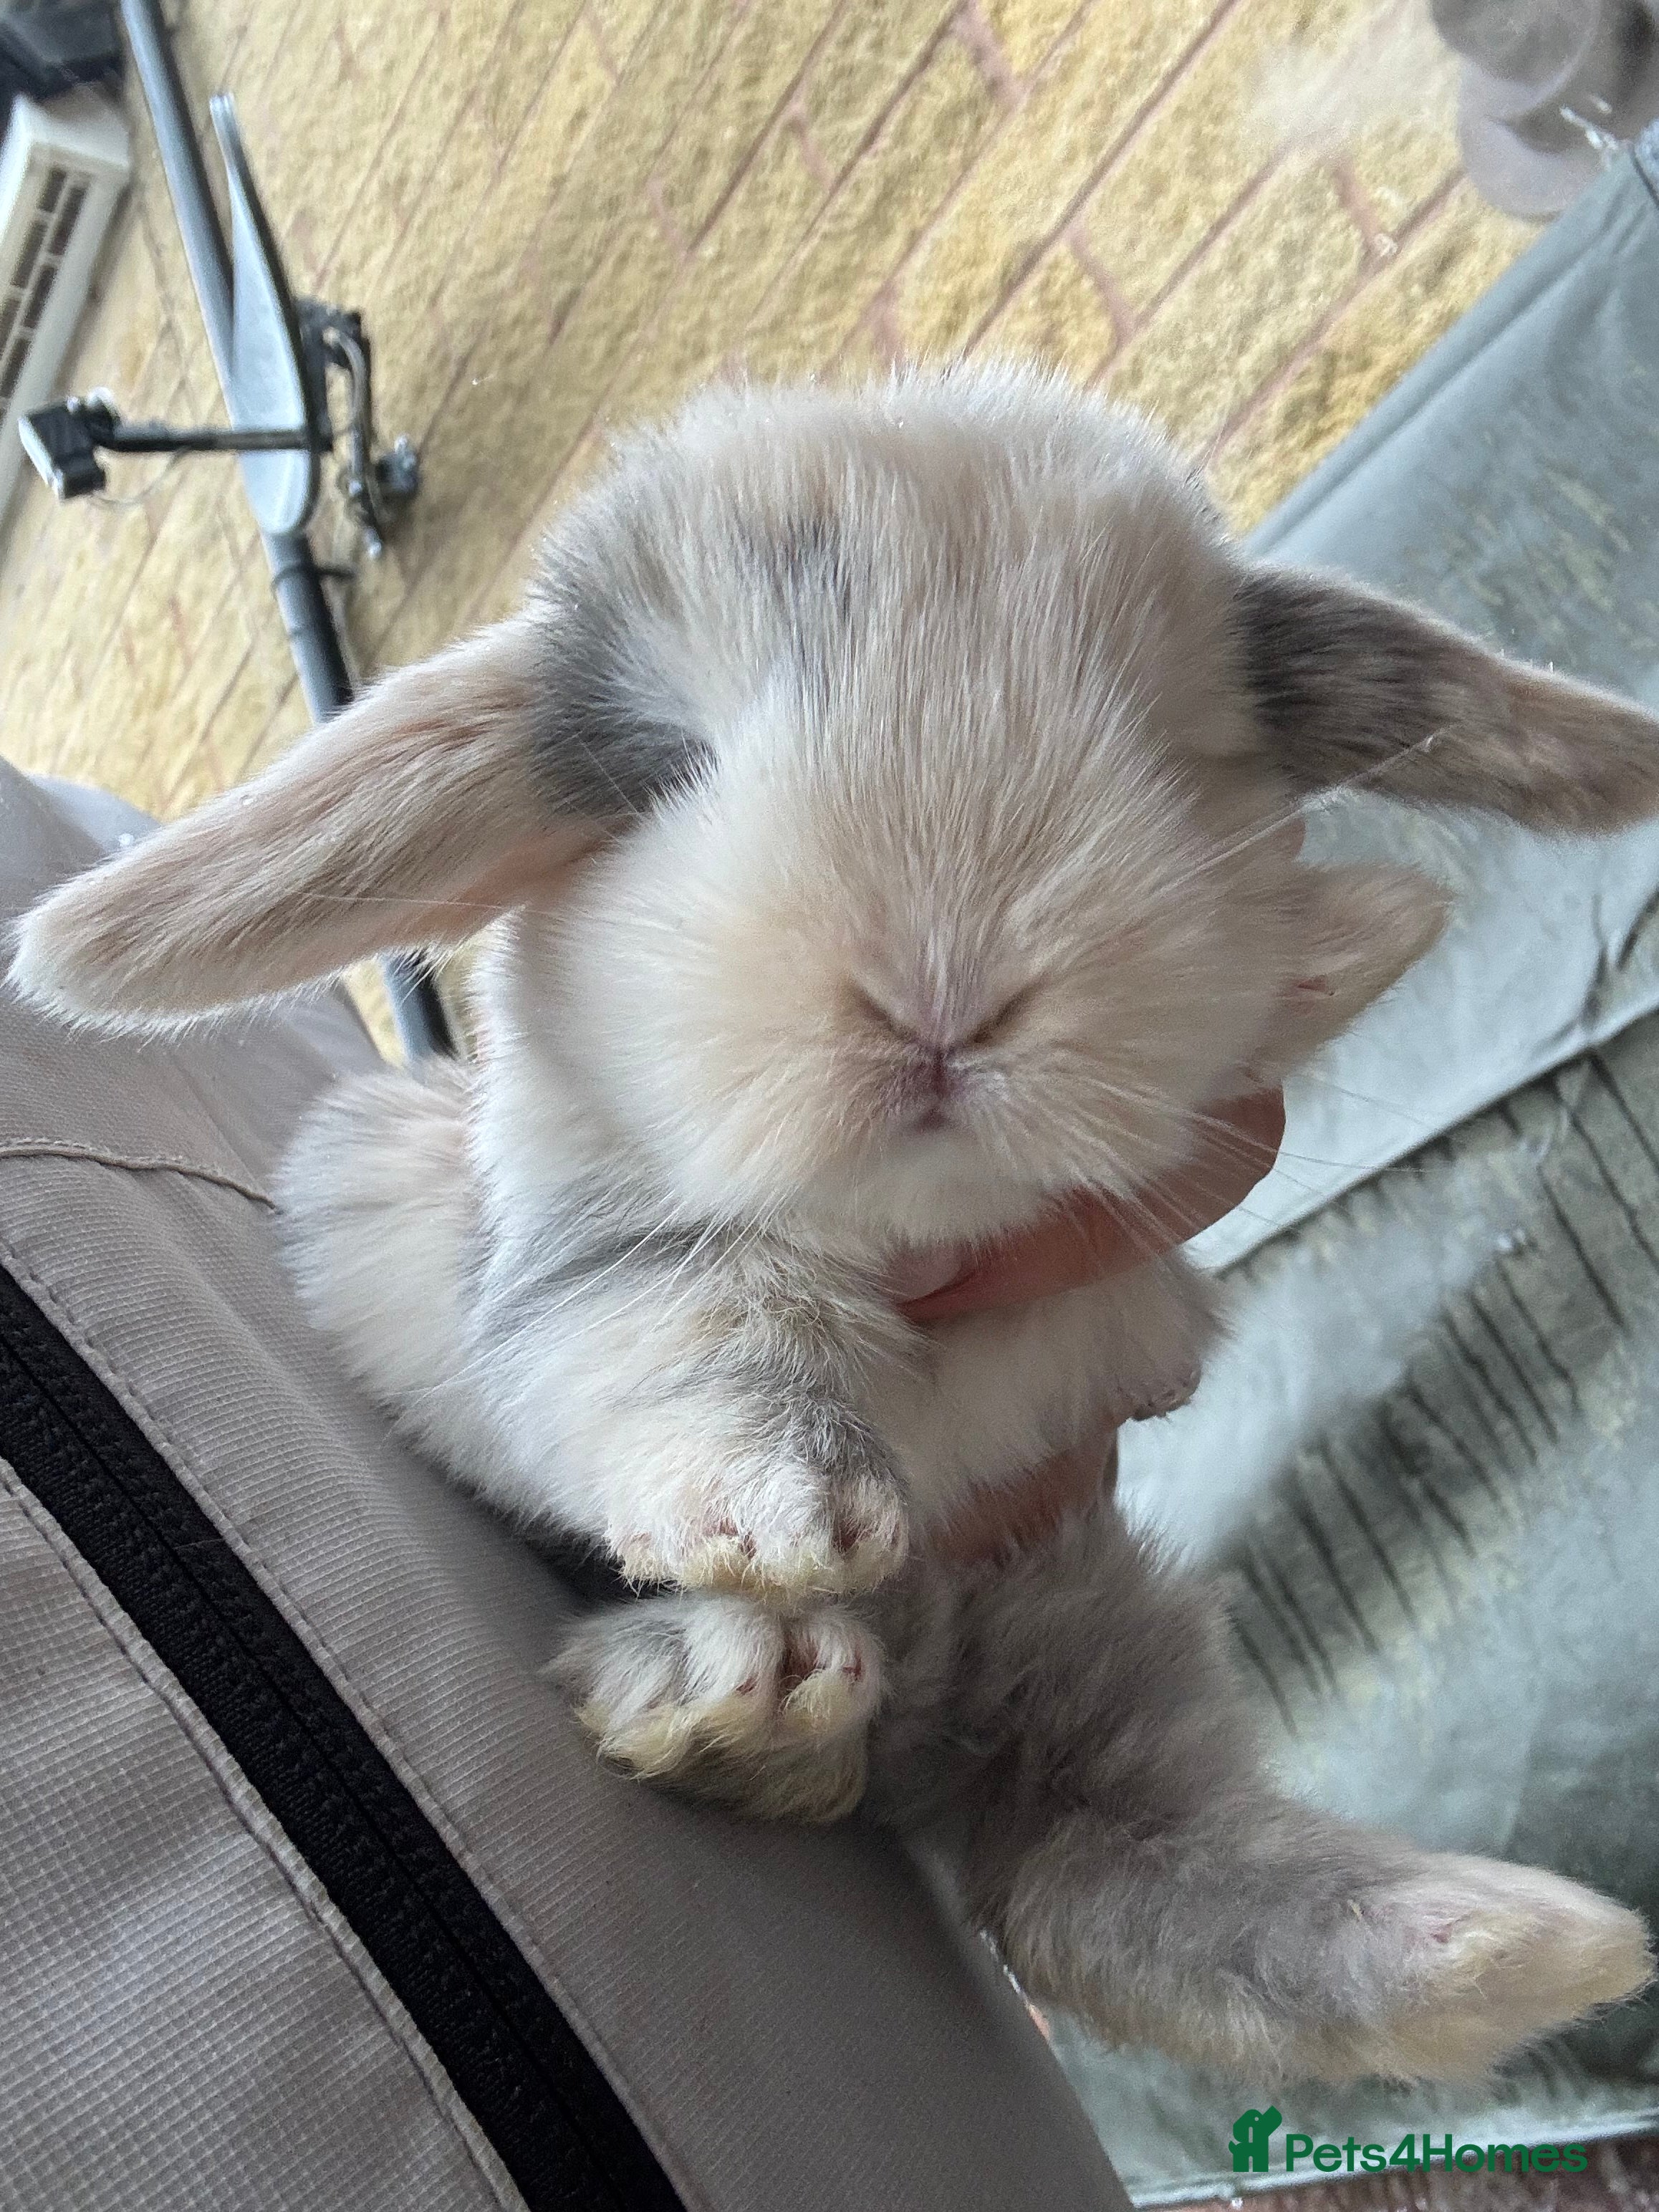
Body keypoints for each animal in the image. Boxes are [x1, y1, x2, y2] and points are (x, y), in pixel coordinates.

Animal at [13, 362, 1658, 2082]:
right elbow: (708, 1347)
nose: (943, 995)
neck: (904, 1235)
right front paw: (784, 1516)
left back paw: (1504, 1942)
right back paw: (741, 1675)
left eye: (1167, 750)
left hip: (1078, 1615)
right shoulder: (605, 1256)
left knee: (1103, 1859)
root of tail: (923, 1711)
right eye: (671, 766)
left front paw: (1347, 942)